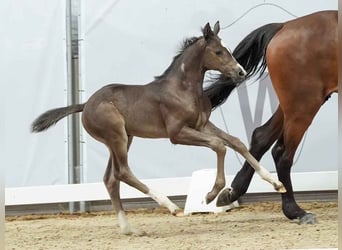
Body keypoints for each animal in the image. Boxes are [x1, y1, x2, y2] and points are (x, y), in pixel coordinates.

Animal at [31, 21, 286, 234]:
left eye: (228, 49)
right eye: (218, 52)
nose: (240, 72)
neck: (182, 88)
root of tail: (85, 104)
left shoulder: (202, 124)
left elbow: (235, 142)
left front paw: (276, 183)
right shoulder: (177, 133)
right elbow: (219, 145)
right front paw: (211, 194)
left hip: (125, 138)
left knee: (111, 178)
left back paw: (128, 228)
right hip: (117, 137)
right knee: (123, 172)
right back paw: (171, 206)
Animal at [204, 10, 338, 225]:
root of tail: (284, 26)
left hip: (292, 105)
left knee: (261, 137)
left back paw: (233, 192)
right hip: (303, 105)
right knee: (282, 153)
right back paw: (296, 211)